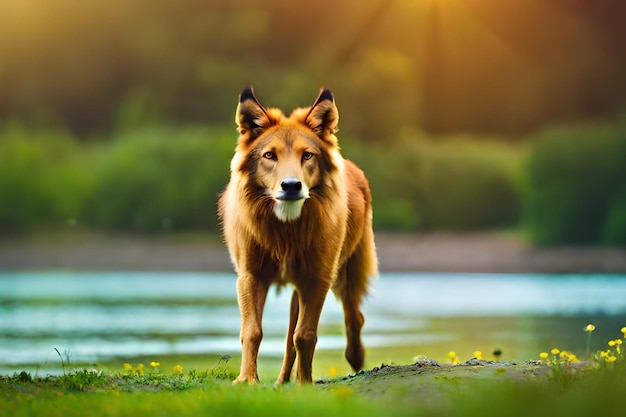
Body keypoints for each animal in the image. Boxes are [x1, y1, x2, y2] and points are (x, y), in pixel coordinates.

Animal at [218, 88, 376, 384]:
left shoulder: (317, 277)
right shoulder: (250, 275)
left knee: (354, 317)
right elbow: (253, 331)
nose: (291, 185)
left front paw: (305, 384)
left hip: (347, 272)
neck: (286, 230)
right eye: (269, 155)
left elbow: (304, 335)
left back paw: (354, 357)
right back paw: (282, 381)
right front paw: (247, 380)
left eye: (308, 156)